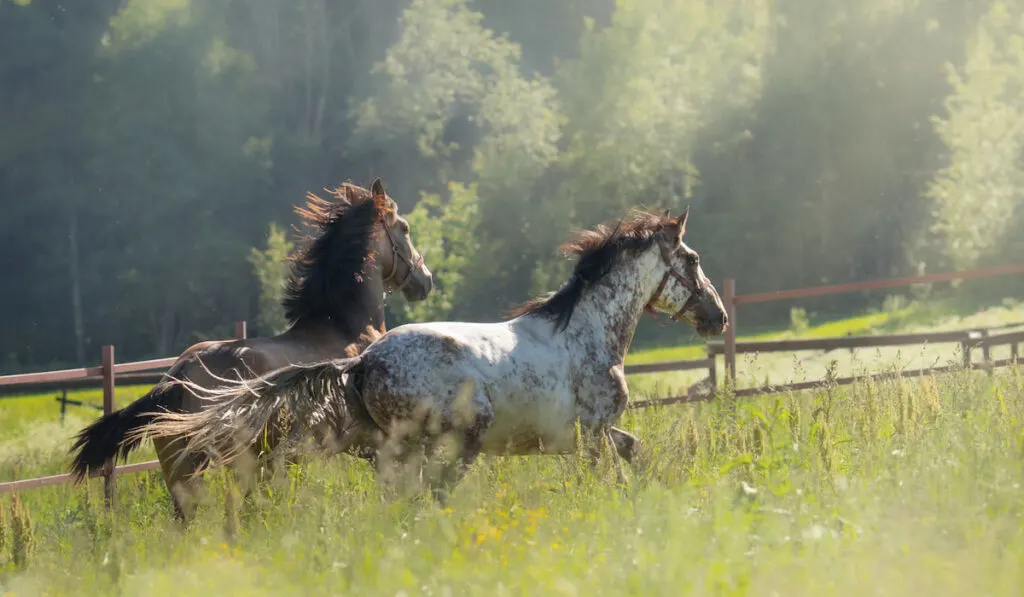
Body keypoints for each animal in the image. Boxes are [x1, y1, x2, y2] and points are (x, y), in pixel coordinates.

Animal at [138, 207, 729, 501]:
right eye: (694, 259)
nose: (718, 317)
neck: (584, 333)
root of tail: (361, 362)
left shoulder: (591, 435)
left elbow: (635, 452)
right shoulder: (590, 433)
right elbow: (615, 471)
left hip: (399, 449)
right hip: (456, 438)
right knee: (429, 495)